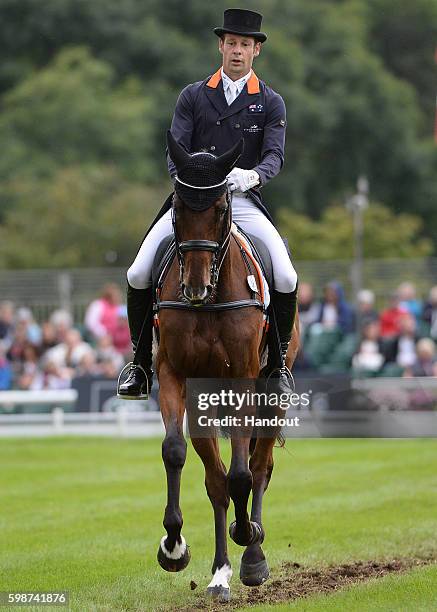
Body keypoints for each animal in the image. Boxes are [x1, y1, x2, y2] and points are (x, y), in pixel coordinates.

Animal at [153, 131, 300, 600]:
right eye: (179, 208)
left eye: (220, 209)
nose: (194, 288)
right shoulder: (175, 374)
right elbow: (176, 451)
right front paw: (173, 547)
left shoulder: (243, 381)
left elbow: (243, 474)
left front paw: (248, 539)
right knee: (216, 481)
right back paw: (219, 573)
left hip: (272, 397)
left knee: (259, 468)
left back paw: (251, 551)